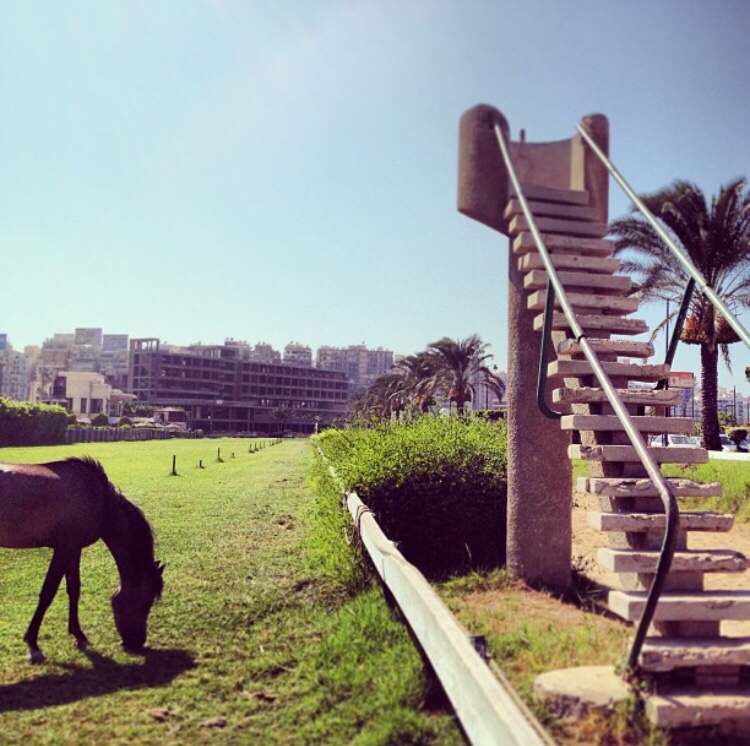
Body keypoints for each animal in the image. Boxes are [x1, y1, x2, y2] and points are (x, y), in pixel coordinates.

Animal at [0, 457, 164, 663]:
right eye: (146, 601)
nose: (137, 642)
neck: (101, 502)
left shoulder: (74, 549)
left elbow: (74, 589)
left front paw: (79, 635)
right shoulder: (63, 549)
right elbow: (48, 593)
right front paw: (33, 644)